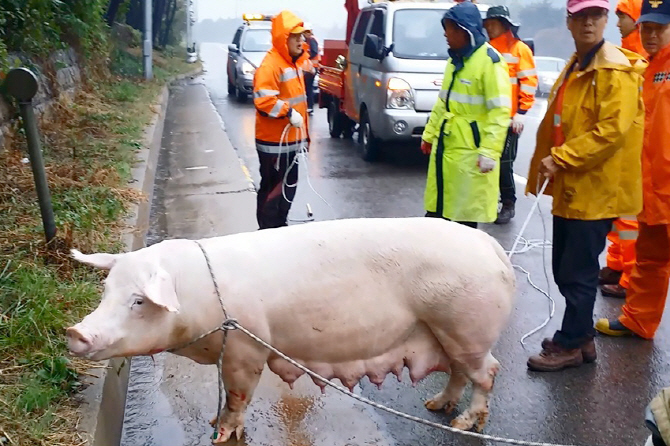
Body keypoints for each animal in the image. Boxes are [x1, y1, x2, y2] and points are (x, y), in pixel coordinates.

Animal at [177, 237, 600, 446]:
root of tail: (494, 249)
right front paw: (213, 423)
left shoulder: (245, 347)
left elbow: (238, 394)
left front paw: (220, 434)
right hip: (447, 332)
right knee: (459, 371)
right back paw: (435, 406)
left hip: (467, 326)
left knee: (488, 373)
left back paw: (462, 424)